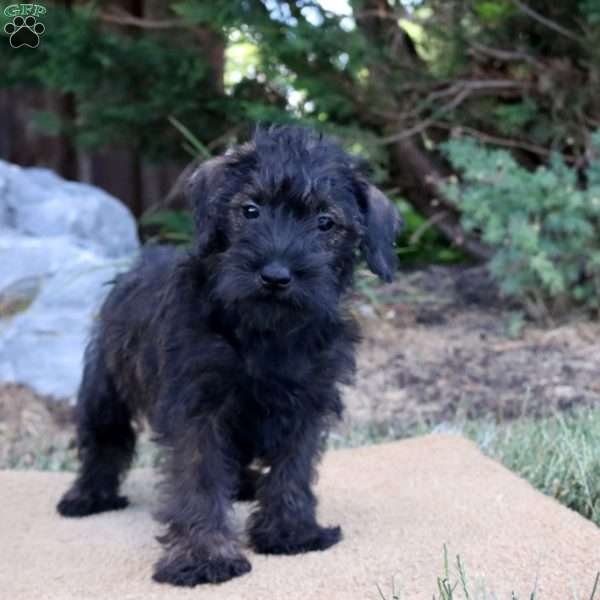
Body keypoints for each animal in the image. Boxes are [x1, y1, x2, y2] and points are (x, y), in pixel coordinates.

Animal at [57, 125, 404, 584]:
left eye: (325, 222)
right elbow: (200, 478)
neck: (266, 333)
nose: (276, 275)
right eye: (250, 210)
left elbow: (293, 469)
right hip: (104, 387)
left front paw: (291, 532)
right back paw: (87, 496)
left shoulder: (309, 404)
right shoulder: (198, 409)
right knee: (104, 439)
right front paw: (204, 555)